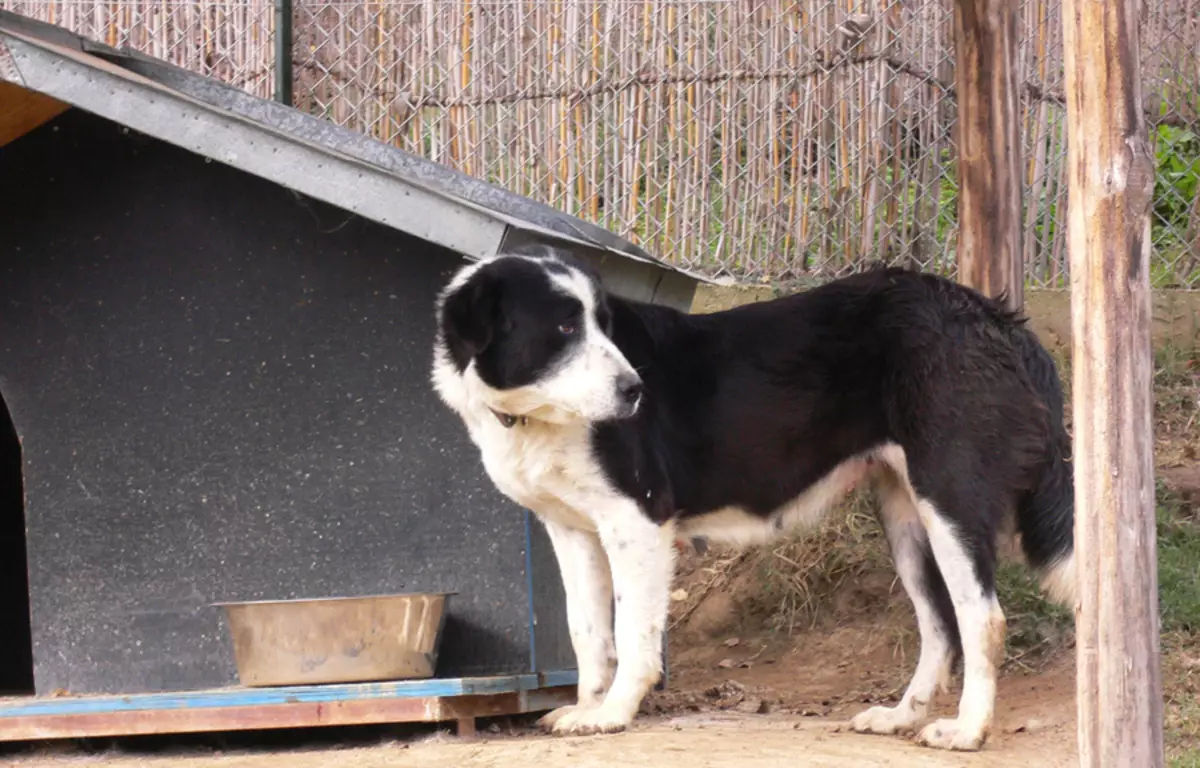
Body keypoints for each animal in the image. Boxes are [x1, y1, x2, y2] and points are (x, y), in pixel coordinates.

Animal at [427, 246, 1075, 748]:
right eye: (564, 328)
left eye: (602, 326)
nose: (636, 390)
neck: (535, 418)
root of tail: (992, 315)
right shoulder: (573, 532)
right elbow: (587, 633)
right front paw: (588, 708)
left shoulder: (637, 522)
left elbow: (633, 634)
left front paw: (612, 714)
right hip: (907, 515)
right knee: (940, 625)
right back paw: (901, 717)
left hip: (950, 497)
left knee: (982, 619)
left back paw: (967, 731)